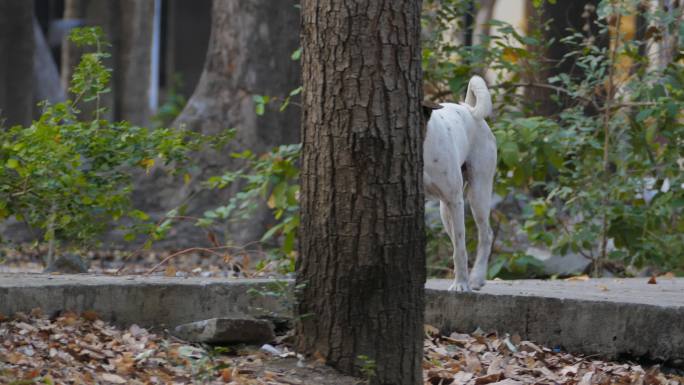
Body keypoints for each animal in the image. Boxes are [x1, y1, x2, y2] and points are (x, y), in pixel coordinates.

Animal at [420, 75, 494, 292]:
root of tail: (469, 109)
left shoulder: (455, 201)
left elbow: (460, 248)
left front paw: (461, 284)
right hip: (445, 211)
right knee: (455, 237)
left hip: (478, 194)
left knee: (486, 235)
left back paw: (476, 277)